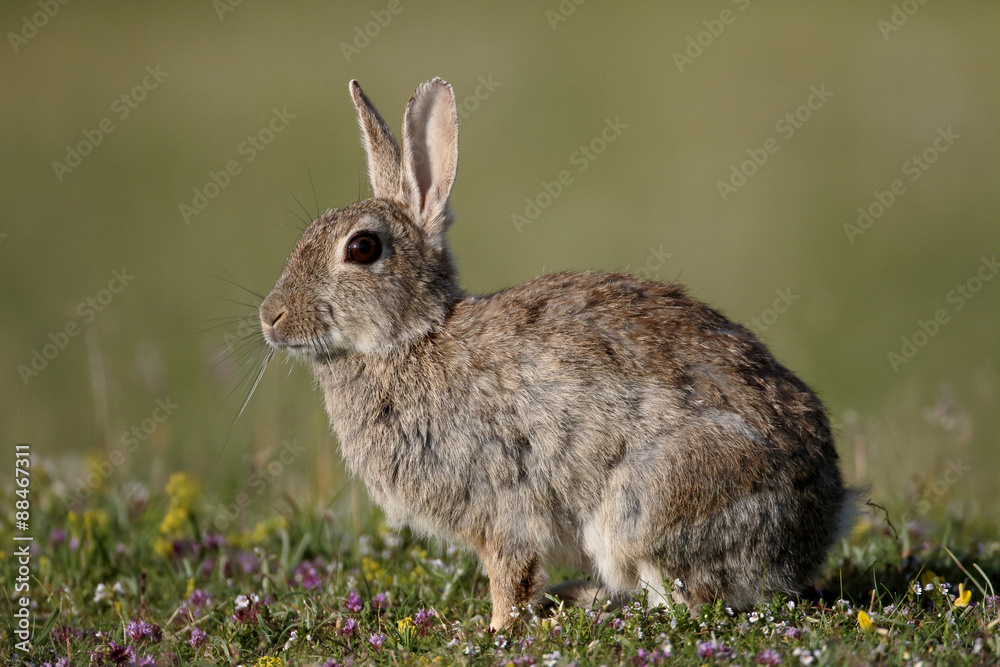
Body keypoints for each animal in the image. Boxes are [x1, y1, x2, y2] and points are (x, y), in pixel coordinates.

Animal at [259, 77, 856, 631]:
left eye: (362, 248)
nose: (270, 316)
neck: (412, 338)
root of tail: (820, 524)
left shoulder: (502, 502)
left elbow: (511, 573)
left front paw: (497, 629)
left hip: (651, 503)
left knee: (686, 600)